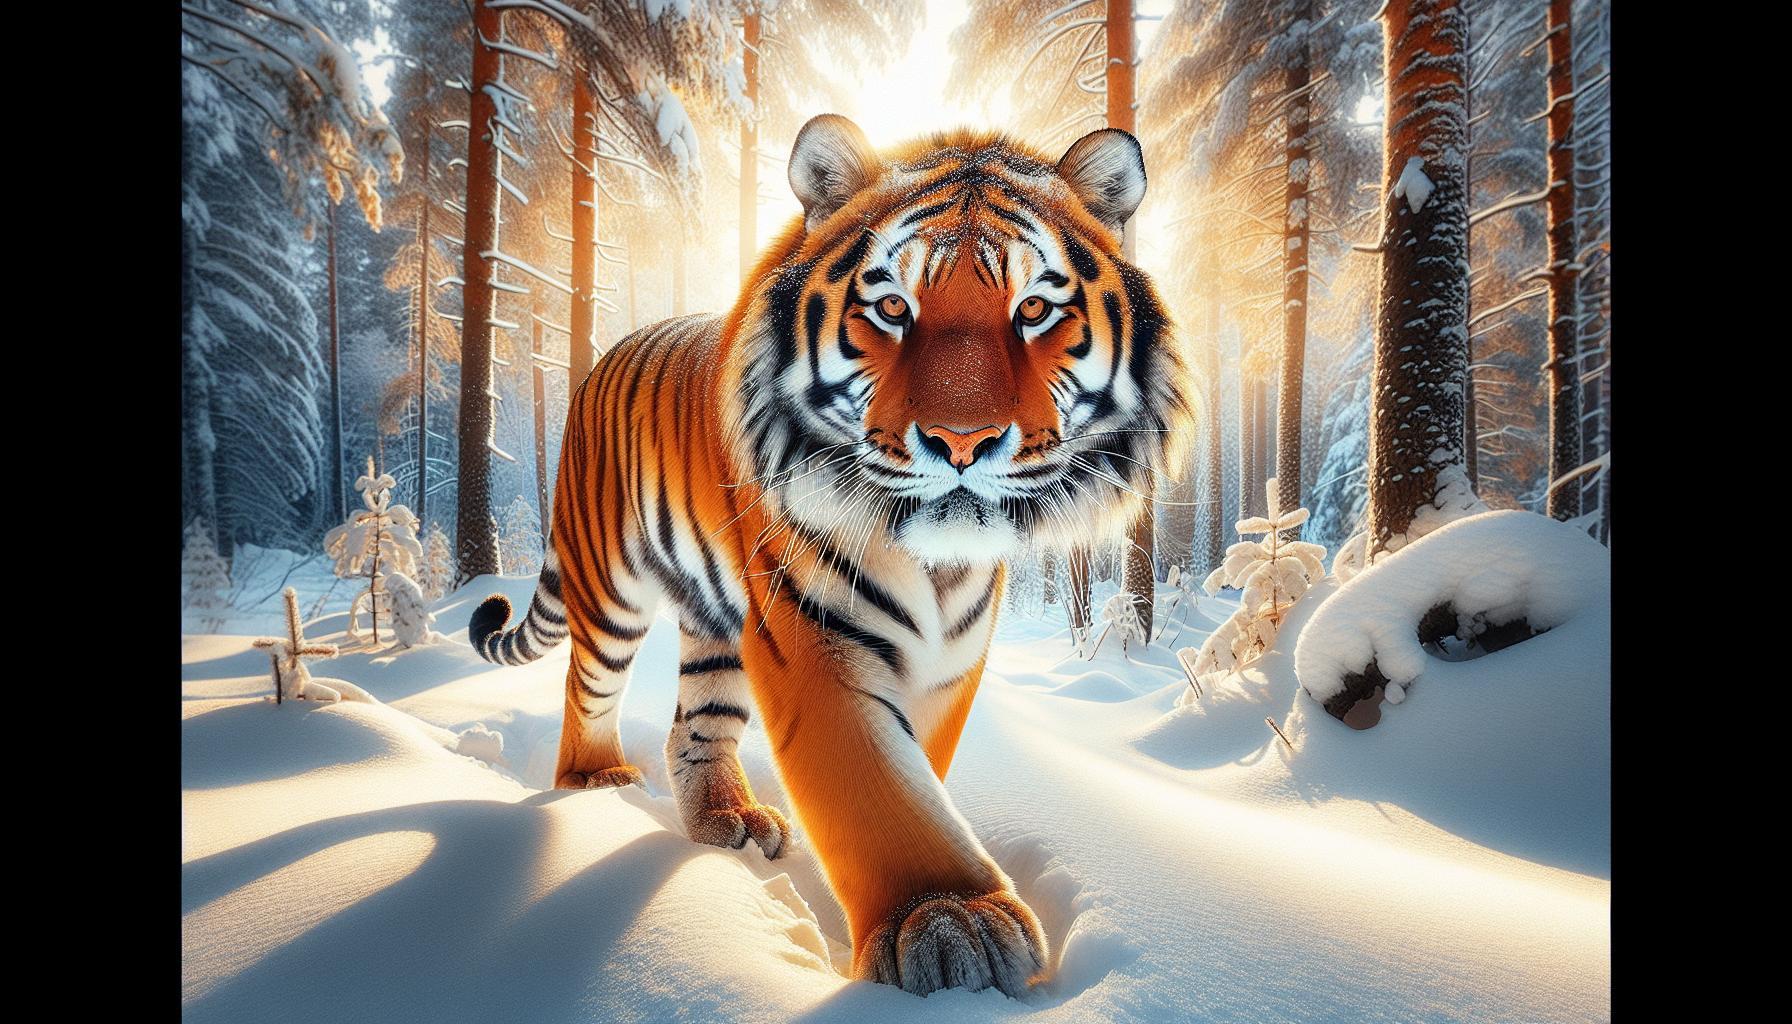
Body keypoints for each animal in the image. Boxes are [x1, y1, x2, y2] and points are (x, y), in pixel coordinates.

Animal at [470, 114, 1193, 998]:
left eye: (1032, 309)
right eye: (891, 307)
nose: (962, 442)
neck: (938, 567)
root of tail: (604, 357)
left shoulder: (950, 657)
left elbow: (920, 767)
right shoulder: (814, 635)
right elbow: (878, 785)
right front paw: (947, 921)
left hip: (718, 627)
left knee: (697, 726)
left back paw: (726, 820)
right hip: (609, 589)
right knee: (586, 686)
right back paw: (592, 785)